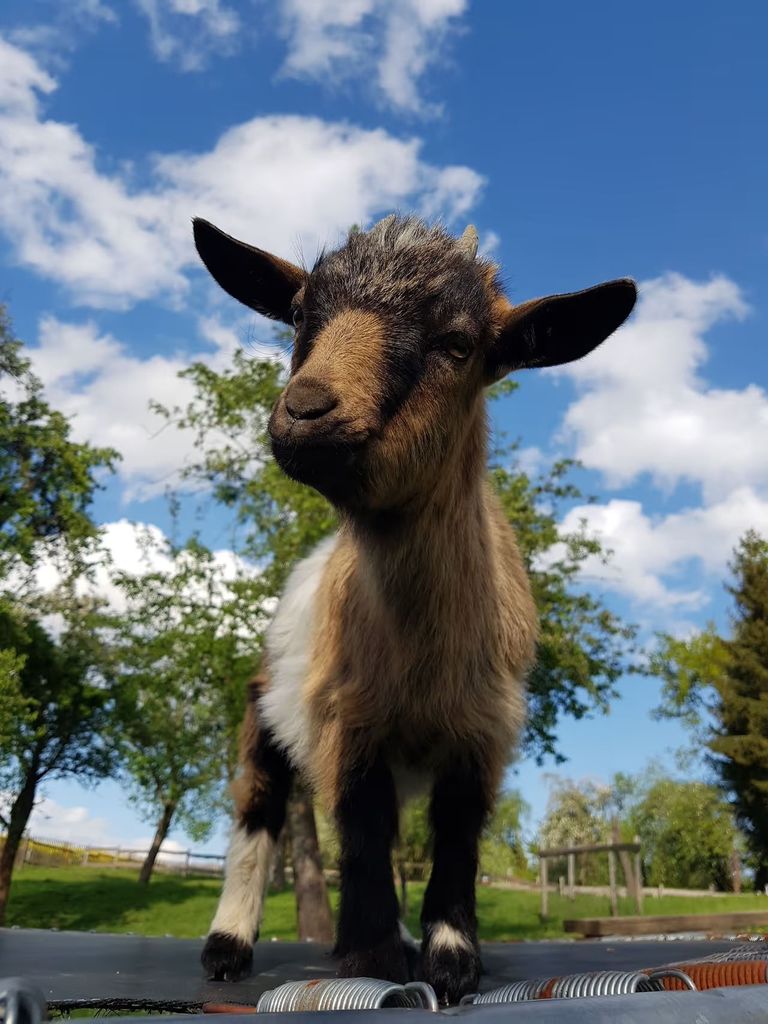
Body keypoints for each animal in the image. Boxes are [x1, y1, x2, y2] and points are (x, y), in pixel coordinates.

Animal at [192, 211, 638, 1003]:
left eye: (458, 344)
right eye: (299, 314)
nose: (306, 412)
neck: (421, 656)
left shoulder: (483, 734)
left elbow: (453, 841)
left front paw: (450, 960)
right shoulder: (348, 725)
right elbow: (365, 841)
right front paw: (371, 964)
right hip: (266, 707)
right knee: (258, 812)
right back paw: (227, 946)